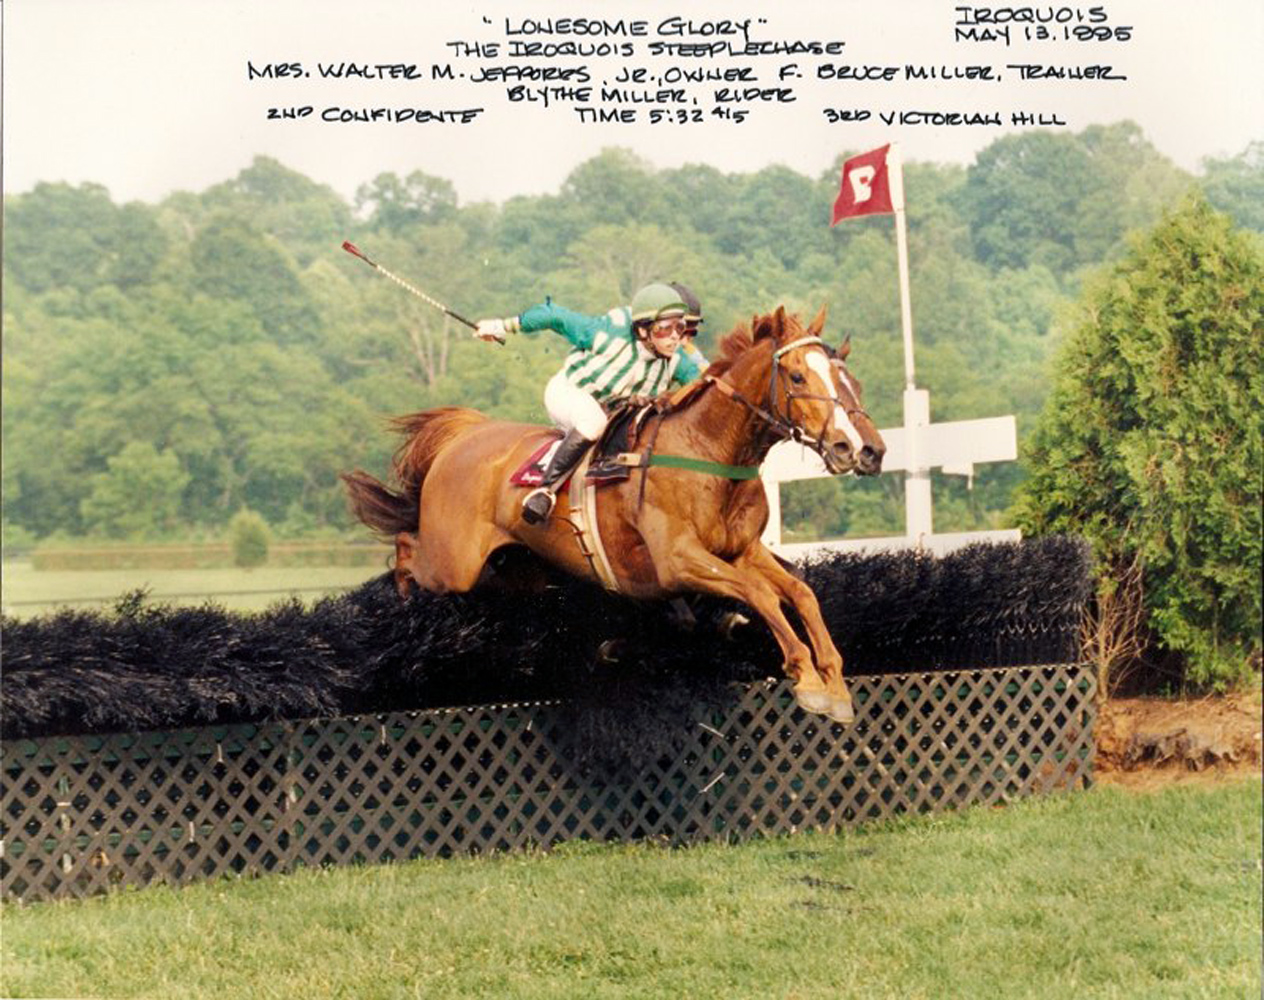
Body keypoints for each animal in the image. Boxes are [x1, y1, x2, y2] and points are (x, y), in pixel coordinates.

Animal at [341, 304, 884, 718]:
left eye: (852, 380)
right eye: (797, 376)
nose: (865, 449)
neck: (707, 450)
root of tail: (465, 434)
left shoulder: (741, 549)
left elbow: (800, 591)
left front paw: (834, 682)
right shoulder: (679, 559)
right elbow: (762, 594)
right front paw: (807, 678)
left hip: (519, 569)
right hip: (453, 562)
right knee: (407, 549)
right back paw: (401, 609)